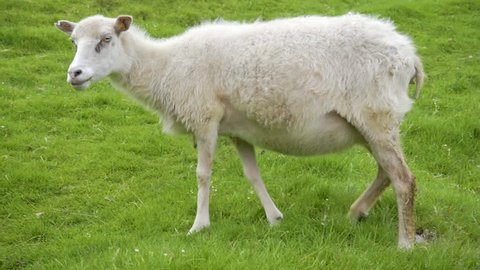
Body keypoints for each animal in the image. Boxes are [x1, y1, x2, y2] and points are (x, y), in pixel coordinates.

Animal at [55, 13, 424, 249]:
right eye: (73, 41)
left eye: (105, 39)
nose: (75, 74)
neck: (165, 67)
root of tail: (409, 53)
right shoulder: (238, 129)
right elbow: (252, 174)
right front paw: (275, 218)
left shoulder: (205, 117)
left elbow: (203, 174)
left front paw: (199, 226)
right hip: (370, 123)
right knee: (385, 172)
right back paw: (356, 212)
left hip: (376, 115)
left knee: (403, 178)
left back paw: (405, 243)